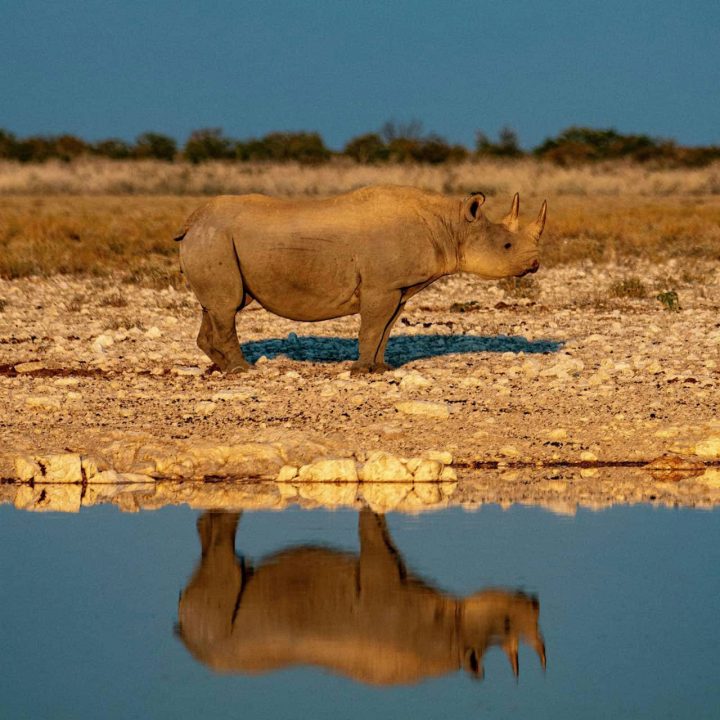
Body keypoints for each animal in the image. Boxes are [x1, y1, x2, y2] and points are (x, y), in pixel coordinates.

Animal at [176, 186, 544, 374]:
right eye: (507, 246)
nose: (535, 264)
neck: (451, 227)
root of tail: (192, 222)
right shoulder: (381, 286)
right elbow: (371, 327)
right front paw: (360, 371)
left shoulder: (398, 287)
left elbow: (386, 329)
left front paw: (380, 369)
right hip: (215, 239)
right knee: (227, 307)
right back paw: (243, 371)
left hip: (214, 240)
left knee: (216, 307)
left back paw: (220, 368)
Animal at [179, 510, 544, 684]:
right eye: (506, 623)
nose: (534, 600)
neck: (453, 630)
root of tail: (186, 637)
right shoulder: (381, 584)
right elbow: (372, 532)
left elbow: (383, 533)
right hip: (216, 626)